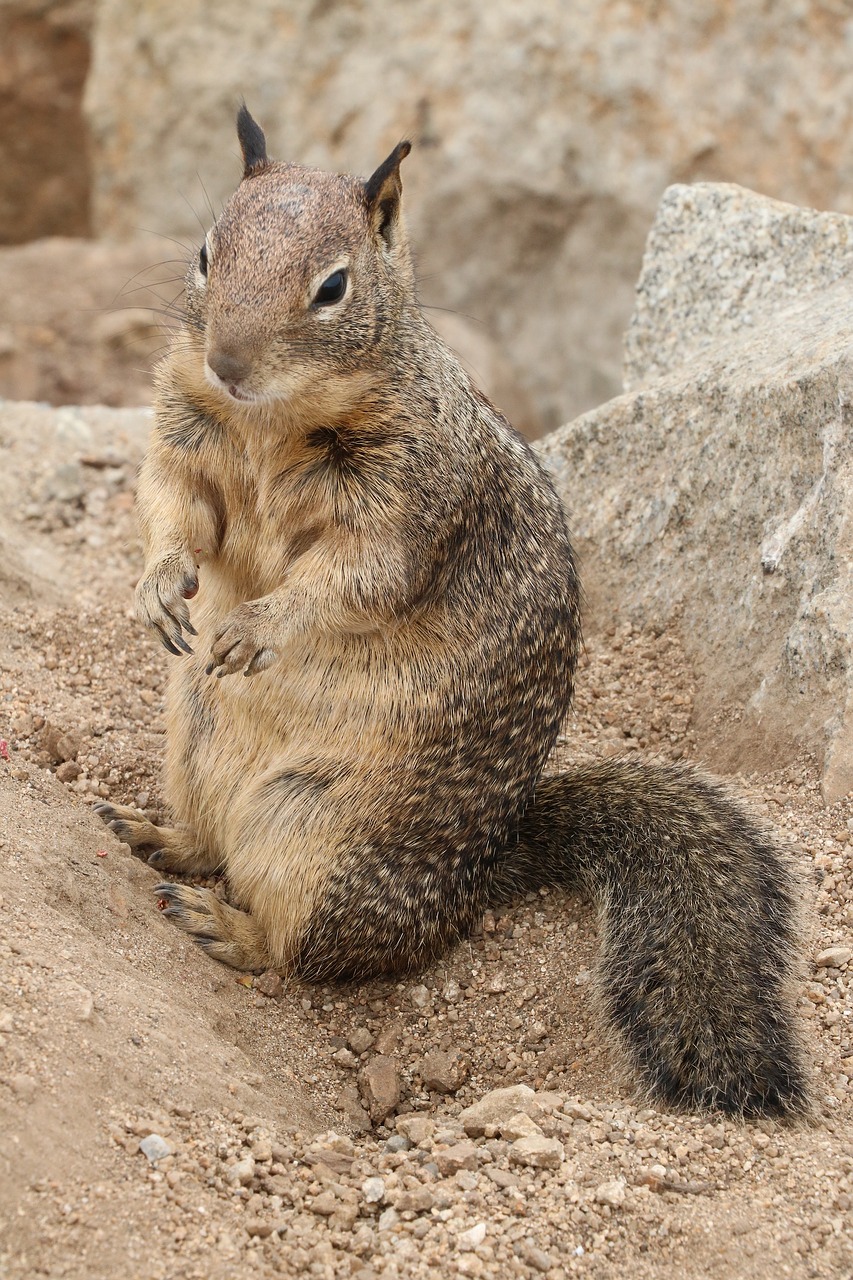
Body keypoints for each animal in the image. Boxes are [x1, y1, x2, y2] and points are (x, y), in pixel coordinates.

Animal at [96, 104, 809, 1116]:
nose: (227, 360)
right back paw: (156, 835)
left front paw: (255, 627)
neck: (269, 418)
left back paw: (226, 927)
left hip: (315, 840)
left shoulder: (410, 501)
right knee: (208, 844)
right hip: (191, 747)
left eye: (333, 286)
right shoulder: (184, 430)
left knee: (302, 949)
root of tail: (481, 869)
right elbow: (170, 507)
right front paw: (159, 588)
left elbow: (351, 579)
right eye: (204, 252)